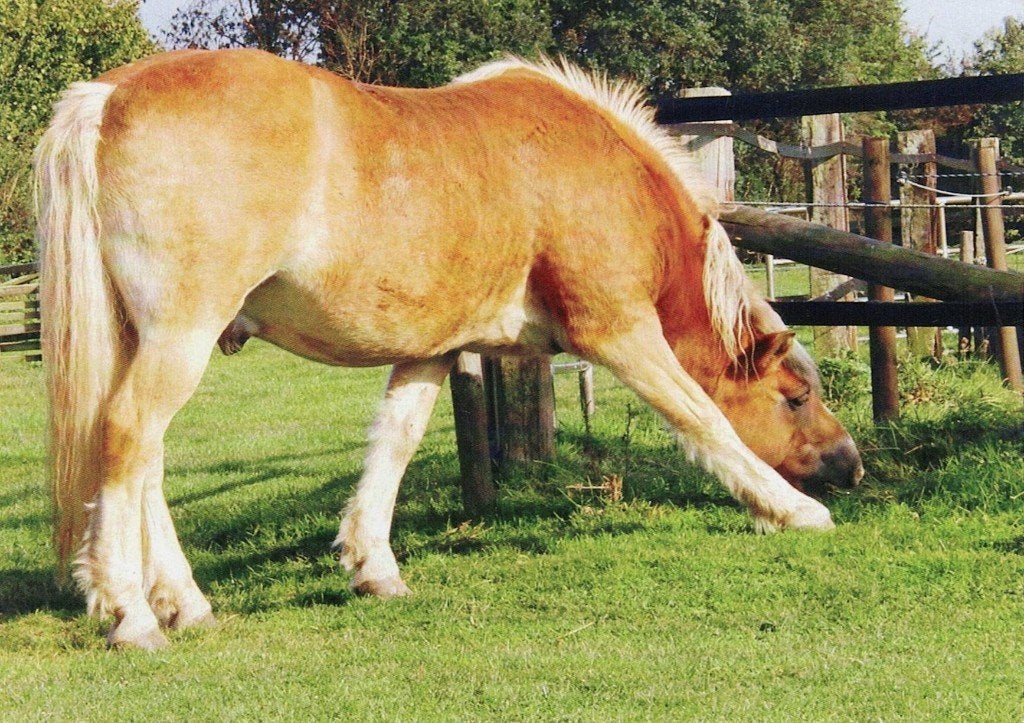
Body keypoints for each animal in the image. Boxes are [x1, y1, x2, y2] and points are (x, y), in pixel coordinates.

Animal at [35, 49, 863, 649]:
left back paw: (184, 601)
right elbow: (705, 422)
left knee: (144, 460)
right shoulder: (619, 330)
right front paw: (790, 509)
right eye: (795, 397)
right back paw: (131, 613)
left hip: (152, 340)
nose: (850, 467)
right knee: (128, 437)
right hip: (181, 335)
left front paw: (372, 564)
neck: (591, 167)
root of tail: (107, 96)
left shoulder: (434, 349)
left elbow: (393, 444)